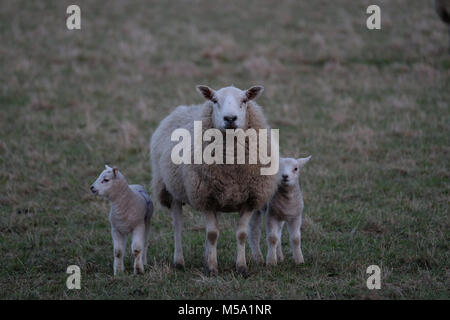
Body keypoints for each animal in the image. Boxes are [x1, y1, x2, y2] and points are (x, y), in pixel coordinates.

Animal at [151, 84, 278, 276]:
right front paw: (212, 268)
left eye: (244, 100)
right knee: (178, 227)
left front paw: (241, 267)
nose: (230, 118)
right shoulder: (206, 198)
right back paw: (179, 262)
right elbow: (212, 234)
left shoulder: (250, 199)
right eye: (215, 100)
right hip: (171, 191)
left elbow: (241, 234)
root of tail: (185, 108)